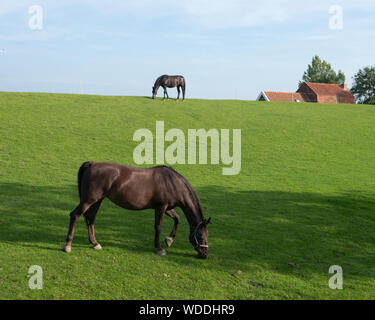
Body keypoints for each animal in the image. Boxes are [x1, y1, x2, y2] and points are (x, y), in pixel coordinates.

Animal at [63, 162, 210, 258]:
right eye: (201, 236)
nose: (205, 255)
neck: (171, 182)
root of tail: (92, 164)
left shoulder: (167, 208)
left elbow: (177, 219)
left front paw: (169, 240)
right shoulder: (161, 207)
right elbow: (158, 227)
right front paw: (159, 248)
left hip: (97, 201)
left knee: (90, 218)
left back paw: (94, 243)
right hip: (89, 200)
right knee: (75, 215)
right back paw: (68, 245)